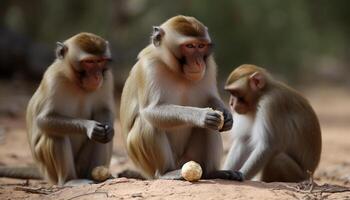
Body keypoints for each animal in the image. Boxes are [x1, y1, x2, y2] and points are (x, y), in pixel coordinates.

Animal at [0, 32, 115, 185]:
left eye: (100, 61)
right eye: (89, 62)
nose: (97, 76)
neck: (76, 83)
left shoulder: (107, 78)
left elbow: (104, 111)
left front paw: (108, 129)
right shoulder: (53, 79)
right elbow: (44, 120)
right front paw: (89, 126)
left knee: (101, 133)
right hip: (50, 171)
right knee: (55, 133)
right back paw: (70, 180)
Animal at [119, 15, 242, 181]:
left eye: (201, 46)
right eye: (189, 46)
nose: (198, 62)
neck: (177, 71)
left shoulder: (210, 65)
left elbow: (211, 99)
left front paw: (227, 116)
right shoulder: (149, 67)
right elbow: (150, 110)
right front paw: (201, 115)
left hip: (190, 157)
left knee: (211, 126)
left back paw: (213, 172)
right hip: (152, 167)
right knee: (147, 123)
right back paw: (165, 172)